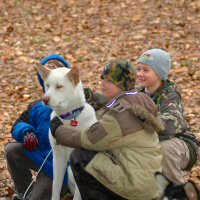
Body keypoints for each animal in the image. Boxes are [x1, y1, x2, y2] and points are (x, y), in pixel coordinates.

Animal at [36, 65, 98, 200]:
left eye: (59, 86)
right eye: (47, 85)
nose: (45, 99)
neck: (69, 118)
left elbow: (79, 195)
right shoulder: (58, 157)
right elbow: (56, 187)